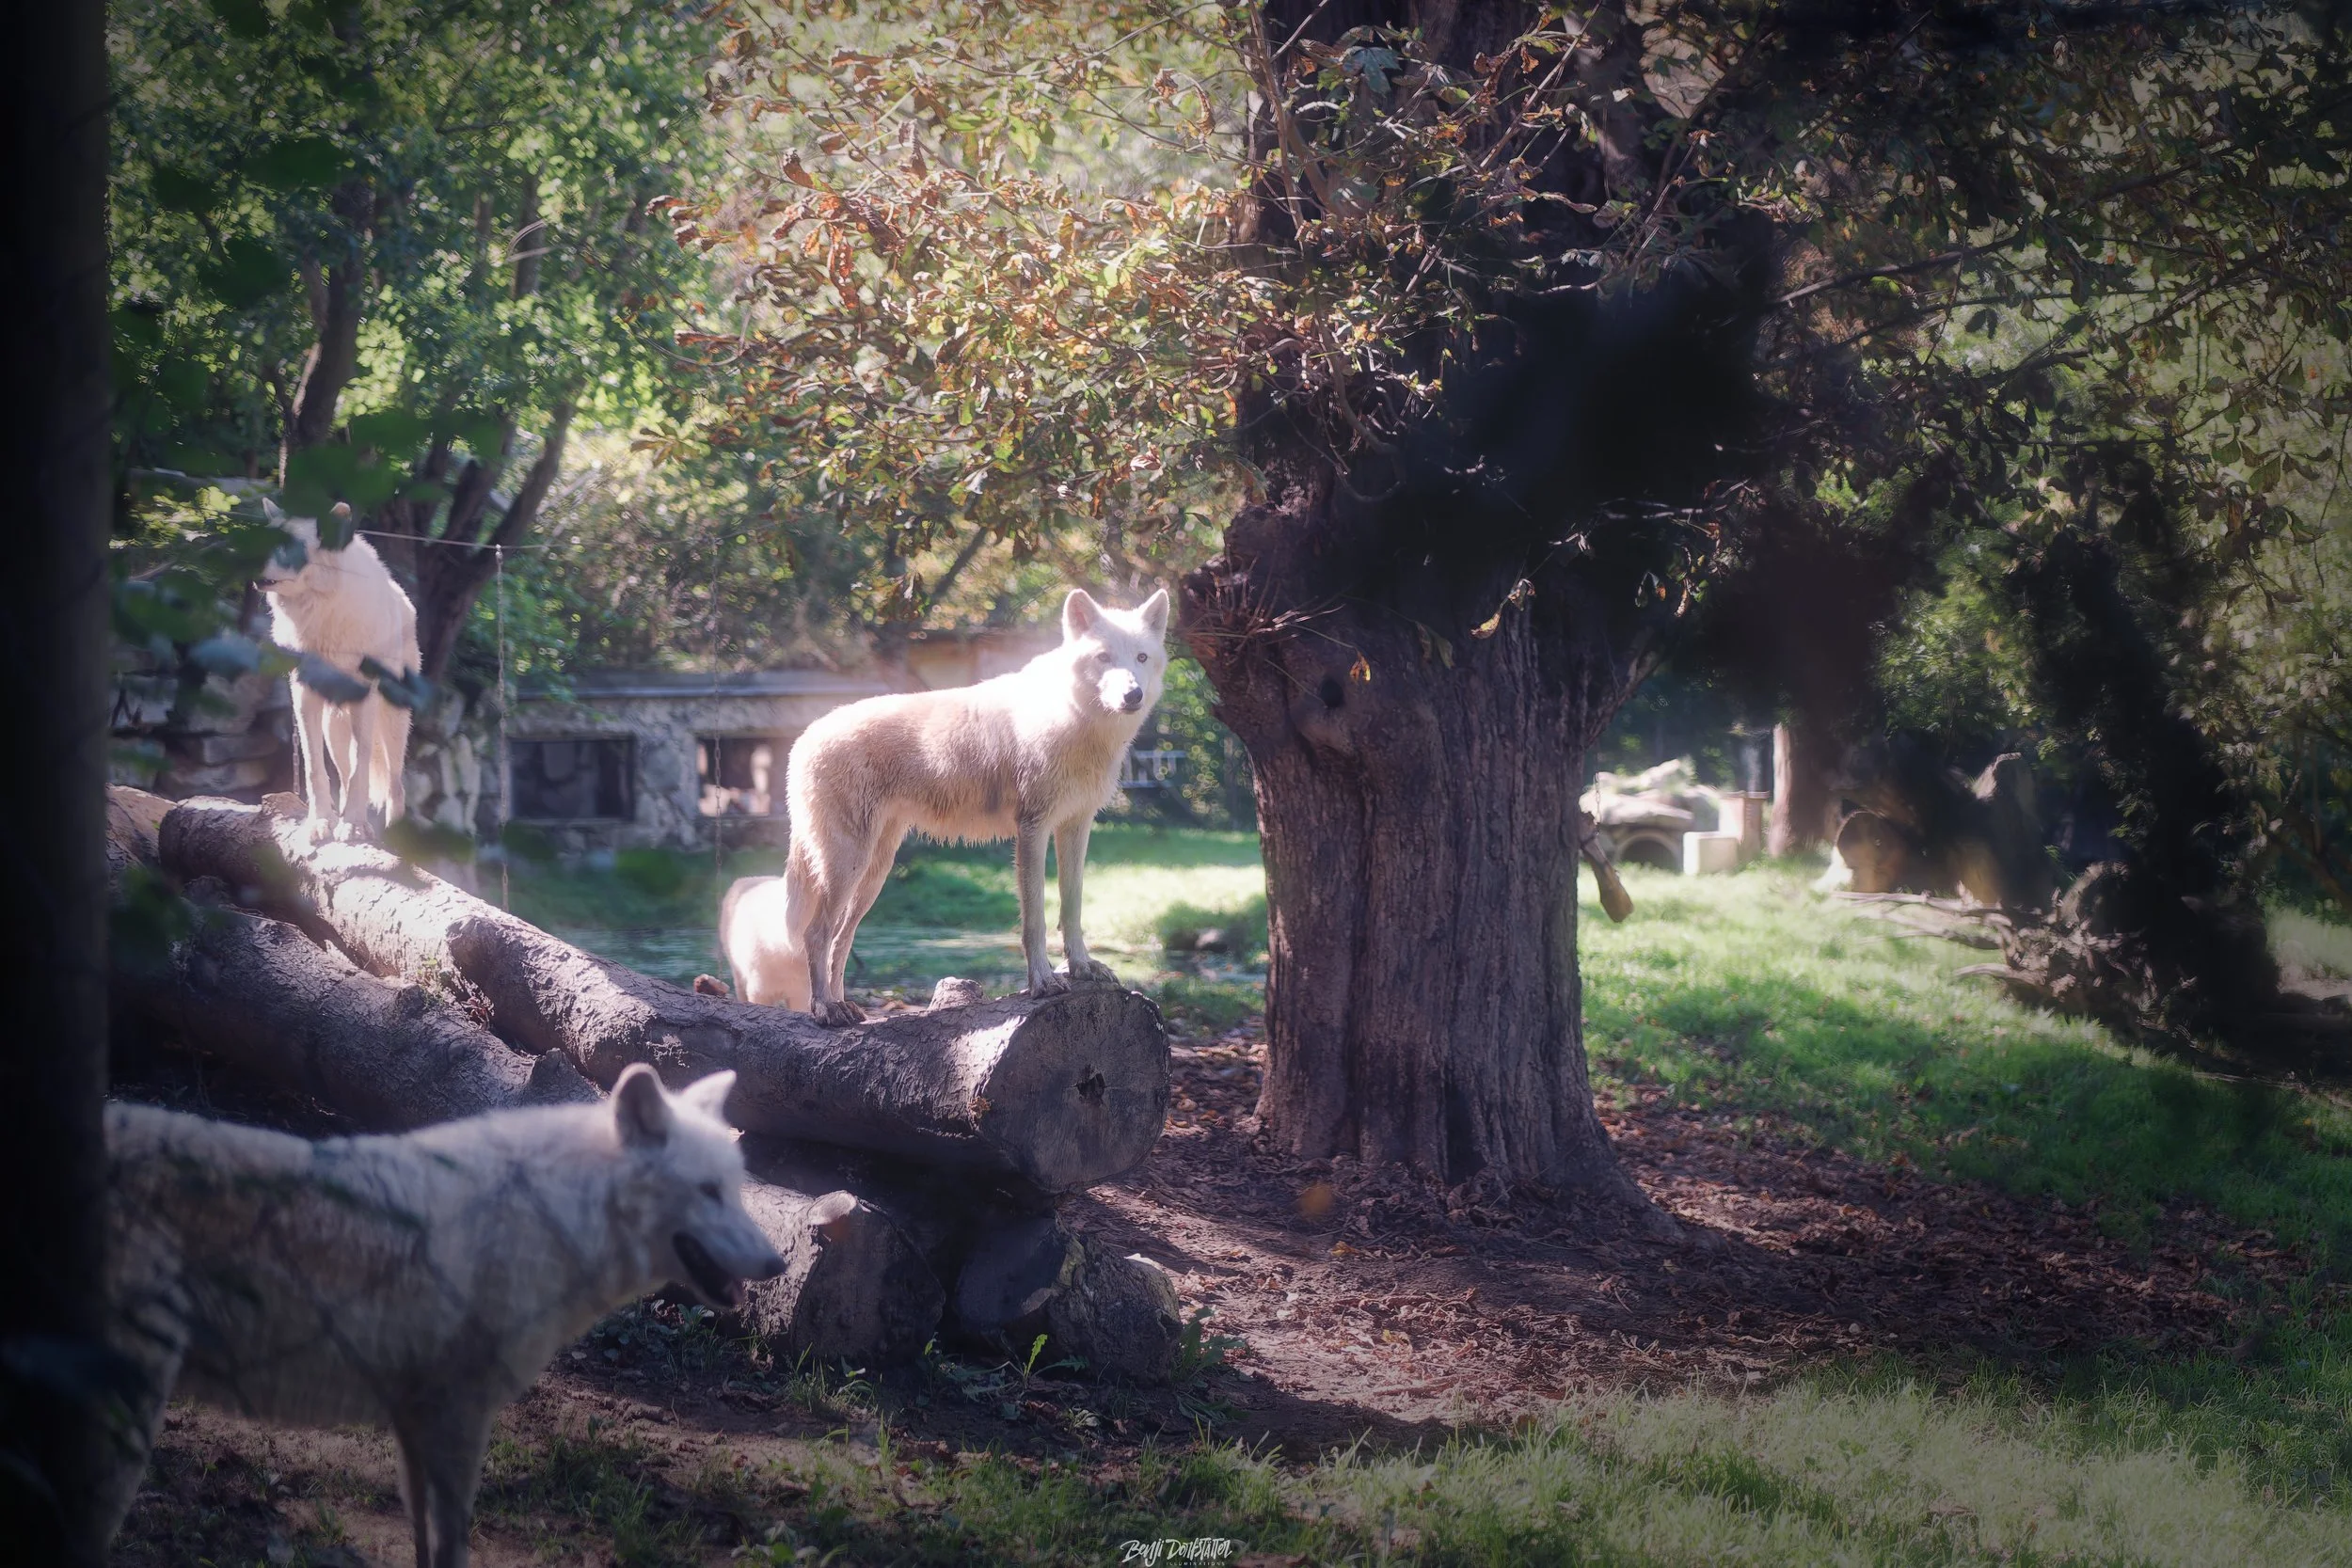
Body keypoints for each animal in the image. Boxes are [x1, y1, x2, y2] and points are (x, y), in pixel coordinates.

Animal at [101, 1065, 786, 1568]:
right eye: (708, 1192)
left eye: (736, 1188)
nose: (779, 1263)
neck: (560, 1213)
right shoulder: (460, 1418)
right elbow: (453, 1543)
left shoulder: (416, 1420)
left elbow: (424, 1540)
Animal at [258, 498, 422, 841]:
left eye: (291, 547)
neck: (323, 613)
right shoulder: (304, 694)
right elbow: (314, 768)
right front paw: (320, 823)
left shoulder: (365, 697)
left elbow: (363, 769)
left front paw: (355, 826)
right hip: (334, 726)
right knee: (345, 778)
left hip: (393, 720)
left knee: (395, 783)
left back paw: (393, 837)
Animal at [721, 587, 1169, 1024]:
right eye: (1103, 657)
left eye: (1141, 657)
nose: (1132, 694)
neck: (1078, 721)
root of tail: (805, 736)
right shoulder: (1032, 829)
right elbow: (1035, 920)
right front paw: (1042, 982)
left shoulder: (1076, 826)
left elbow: (1072, 908)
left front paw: (1083, 969)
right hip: (848, 865)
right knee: (816, 934)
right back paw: (824, 1010)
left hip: (872, 874)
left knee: (840, 940)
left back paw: (844, 1006)